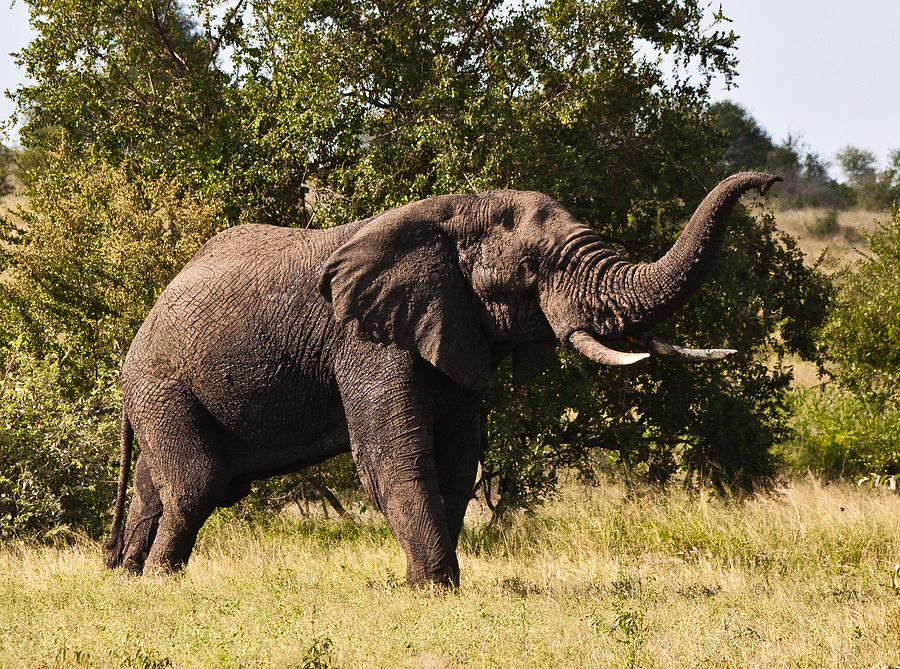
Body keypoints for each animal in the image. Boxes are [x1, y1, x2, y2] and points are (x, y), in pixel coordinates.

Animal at [103, 171, 780, 584]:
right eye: (533, 268)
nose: (769, 182)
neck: (454, 214)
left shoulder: (458, 333)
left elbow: (458, 459)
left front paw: (434, 583)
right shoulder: (367, 338)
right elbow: (396, 456)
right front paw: (433, 589)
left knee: (160, 489)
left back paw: (128, 577)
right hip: (163, 384)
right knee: (198, 483)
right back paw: (160, 581)